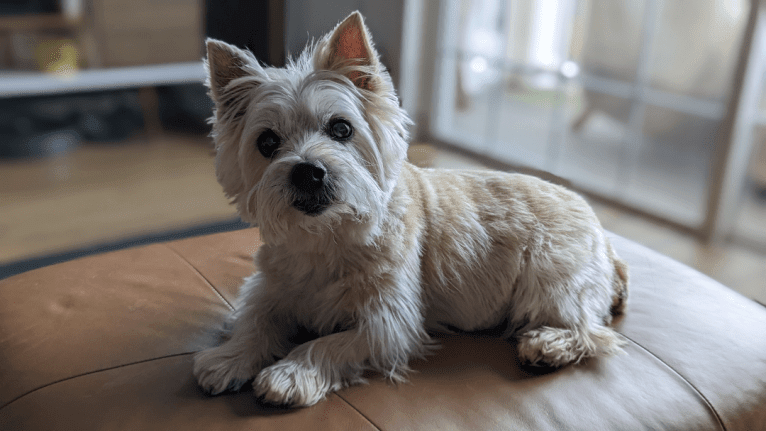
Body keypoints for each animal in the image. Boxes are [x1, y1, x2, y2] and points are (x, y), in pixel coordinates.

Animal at [194, 11, 632, 408]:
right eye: (267, 142)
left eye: (341, 128)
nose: (308, 172)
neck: (326, 237)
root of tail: (606, 239)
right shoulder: (270, 289)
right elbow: (254, 321)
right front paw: (228, 357)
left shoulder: (387, 323)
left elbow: (325, 344)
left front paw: (289, 373)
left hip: (551, 278)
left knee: (590, 329)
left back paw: (548, 345)